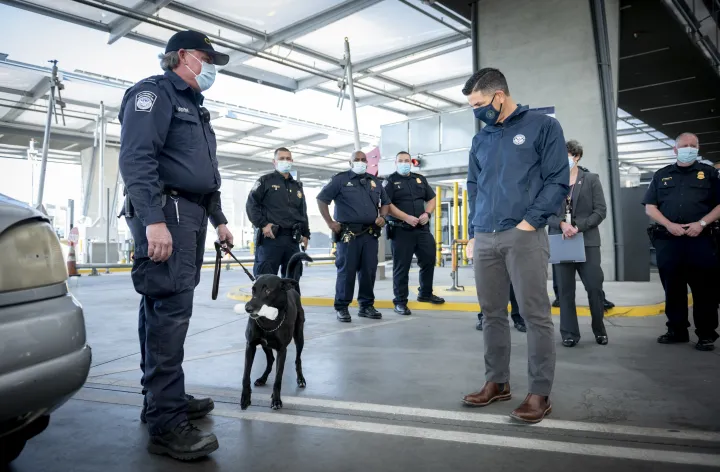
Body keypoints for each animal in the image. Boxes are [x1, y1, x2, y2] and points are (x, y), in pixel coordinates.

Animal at [242, 251, 312, 410]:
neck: (268, 321)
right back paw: (262, 378)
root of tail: (291, 288)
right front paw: (245, 398)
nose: (248, 308)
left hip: (299, 337)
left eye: (268, 290)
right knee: (270, 359)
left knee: (298, 359)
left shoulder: (282, 350)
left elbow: (278, 378)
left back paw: (300, 379)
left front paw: (276, 400)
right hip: (265, 344)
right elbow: (245, 375)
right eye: (253, 290)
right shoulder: (251, 345)